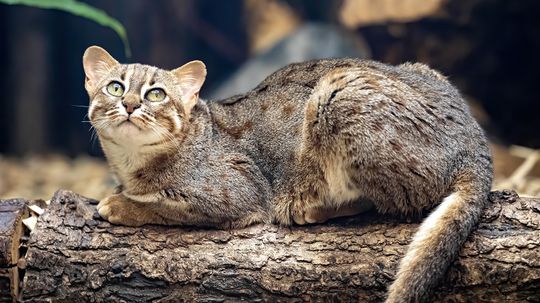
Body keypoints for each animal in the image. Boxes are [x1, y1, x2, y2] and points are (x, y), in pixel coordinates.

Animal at [82, 45, 492, 303]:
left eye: (156, 95)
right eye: (115, 87)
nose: (129, 105)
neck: (133, 162)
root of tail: (476, 144)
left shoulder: (236, 192)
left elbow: (164, 205)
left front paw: (120, 203)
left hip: (336, 93)